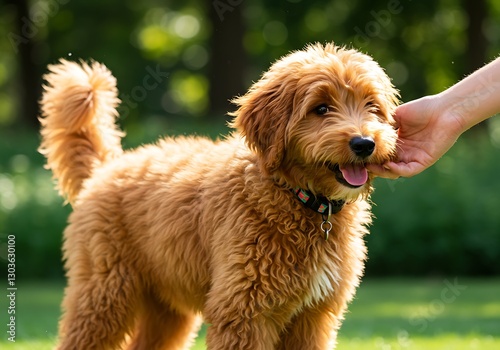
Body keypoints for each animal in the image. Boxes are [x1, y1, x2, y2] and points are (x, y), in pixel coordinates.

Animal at [39, 43, 398, 350]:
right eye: (321, 108)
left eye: (372, 106)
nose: (364, 143)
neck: (298, 198)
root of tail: (106, 168)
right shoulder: (243, 309)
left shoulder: (313, 317)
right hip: (103, 293)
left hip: (165, 308)